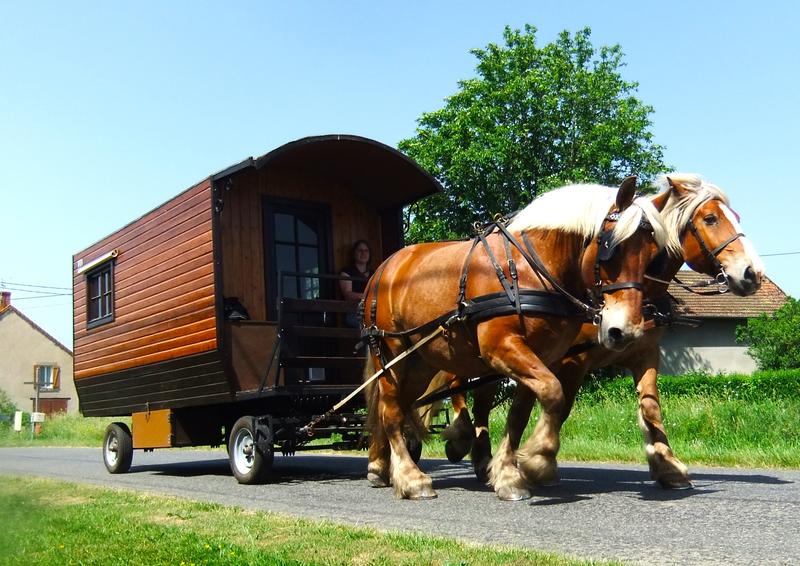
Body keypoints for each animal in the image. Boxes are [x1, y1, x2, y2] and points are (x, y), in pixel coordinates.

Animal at [362, 177, 676, 500]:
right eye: (612, 249)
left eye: (653, 255)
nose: (626, 330)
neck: (530, 271)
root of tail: (385, 267)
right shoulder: (501, 348)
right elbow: (553, 392)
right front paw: (538, 459)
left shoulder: (541, 355)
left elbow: (522, 413)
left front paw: (509, 473)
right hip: (390, 354)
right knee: (390, 410)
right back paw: (411, 477)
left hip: (420, 363)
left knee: (399, 406)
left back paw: (381, 466)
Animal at [430, 173, 765, 493]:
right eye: (710, 219)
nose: (753, 274)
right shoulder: (571, 362)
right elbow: (562, 407)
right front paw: (539, 460)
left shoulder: (644, 353)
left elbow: (650, 407)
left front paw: (667, 466)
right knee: (461, 386)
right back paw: (465, 441)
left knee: (480, 398)